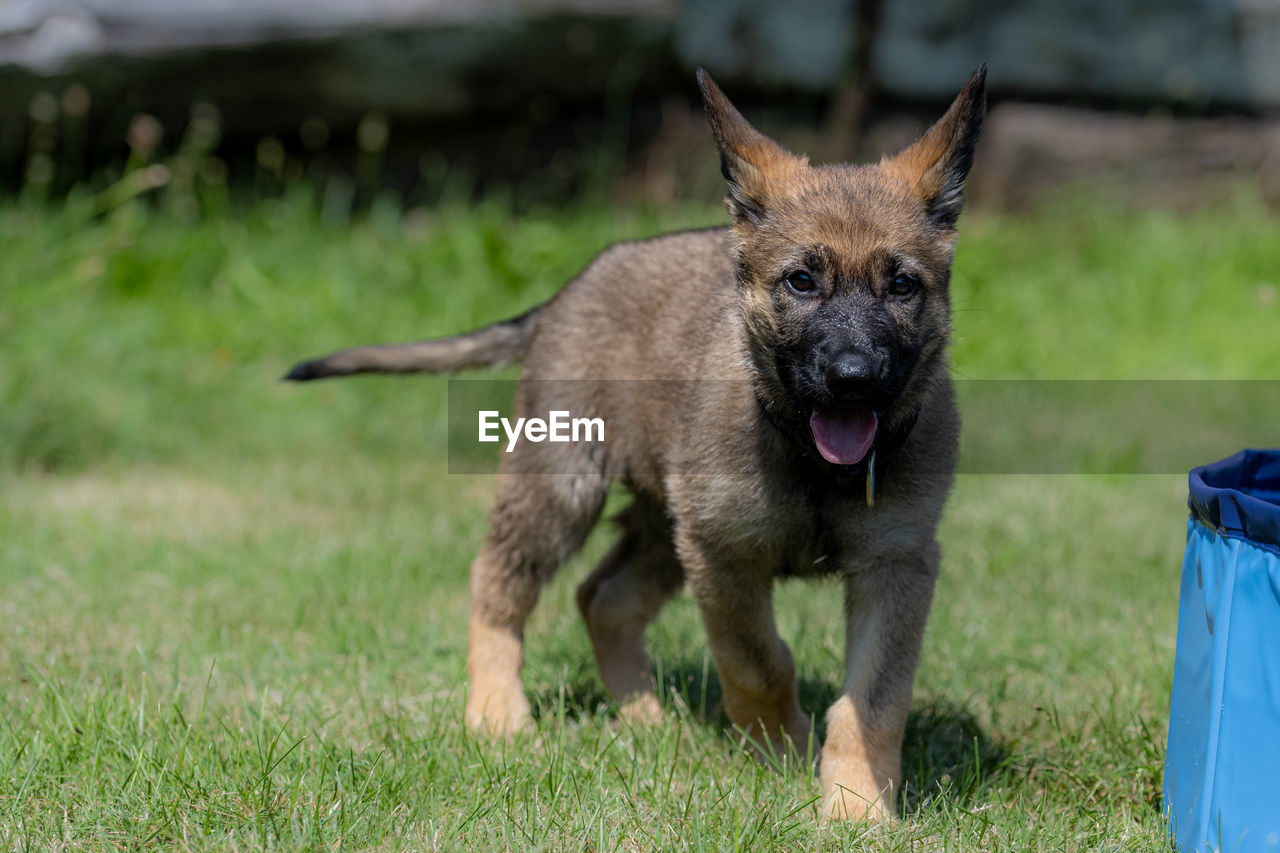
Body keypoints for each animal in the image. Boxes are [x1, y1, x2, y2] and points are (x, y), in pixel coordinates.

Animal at [293, 63, 988, 819]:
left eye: (902, 284)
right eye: (802, 281)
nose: (853, 379)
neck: (807, 458)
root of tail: (565, 294)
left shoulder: (896, 561)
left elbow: (873, 698)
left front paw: (857, 804)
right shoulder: (723, 553)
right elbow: (760, 663)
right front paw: (785, 754)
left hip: (664, 522)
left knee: (604, 597)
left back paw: (645, 718)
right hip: (563, 485)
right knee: (498, 580)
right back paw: (498, 711)